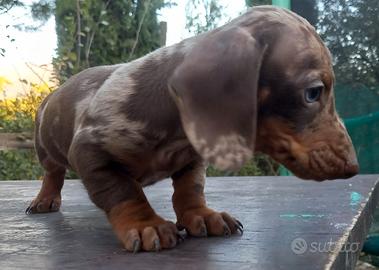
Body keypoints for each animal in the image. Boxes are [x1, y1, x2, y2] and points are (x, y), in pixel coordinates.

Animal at [26, 5, 360, 252]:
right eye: (313, 92)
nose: (353, 167)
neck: (175, 135)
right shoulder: (91, 152)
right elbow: (123, 191)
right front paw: (146, 225)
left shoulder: (192, 158)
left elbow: (190, 189)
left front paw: (203, 215)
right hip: (46, 148)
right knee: (53, 173)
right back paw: (45, 199)